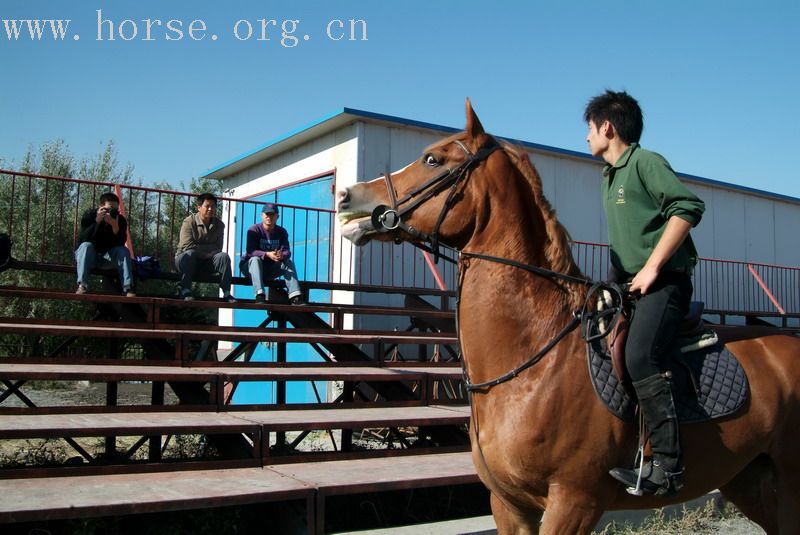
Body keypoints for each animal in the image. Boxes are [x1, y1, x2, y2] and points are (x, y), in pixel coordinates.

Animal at [338, 100, 800, 532]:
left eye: (433, 159)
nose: (346, 196)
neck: (533, 365)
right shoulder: (508, 504)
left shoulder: (574, 502)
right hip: (747, 478)